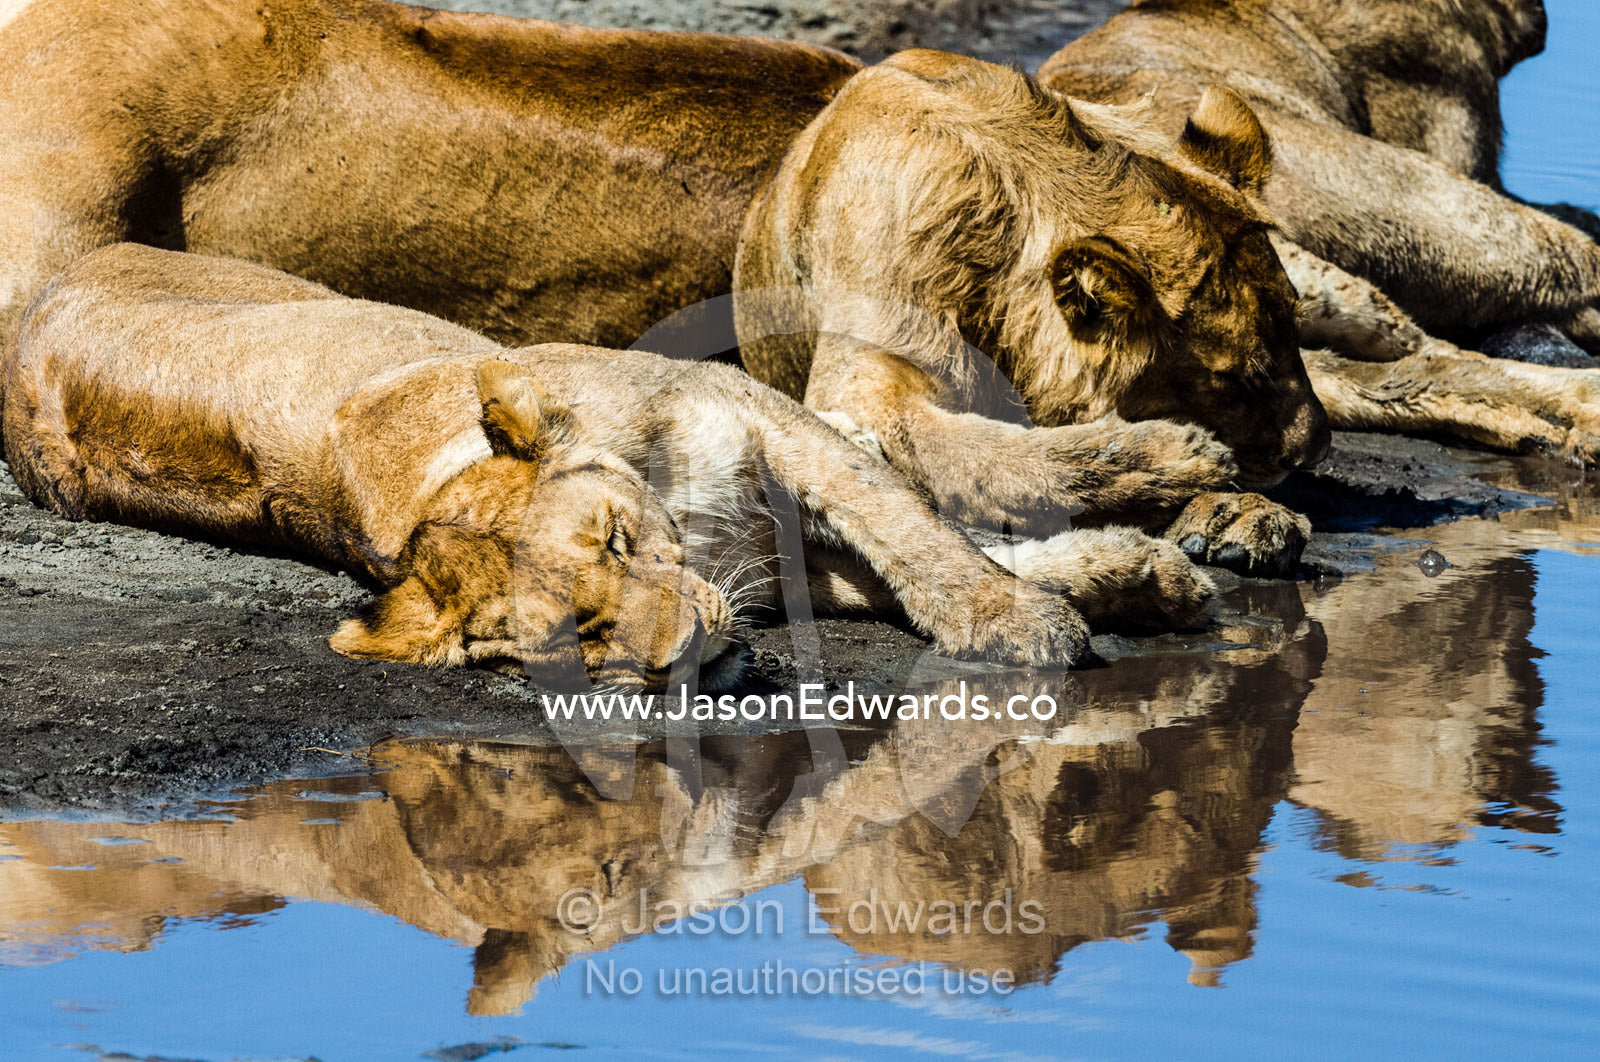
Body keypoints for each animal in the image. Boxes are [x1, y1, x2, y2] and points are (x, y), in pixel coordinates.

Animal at [3, 245, 1230, 684]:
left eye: (617, 540)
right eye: (577, 632)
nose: (690, 650)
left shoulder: (764, 426)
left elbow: (919, 534)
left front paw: (1021, 617)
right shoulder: (762, 539)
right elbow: (908, 551)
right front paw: (1127, 578)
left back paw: (1174, 454)